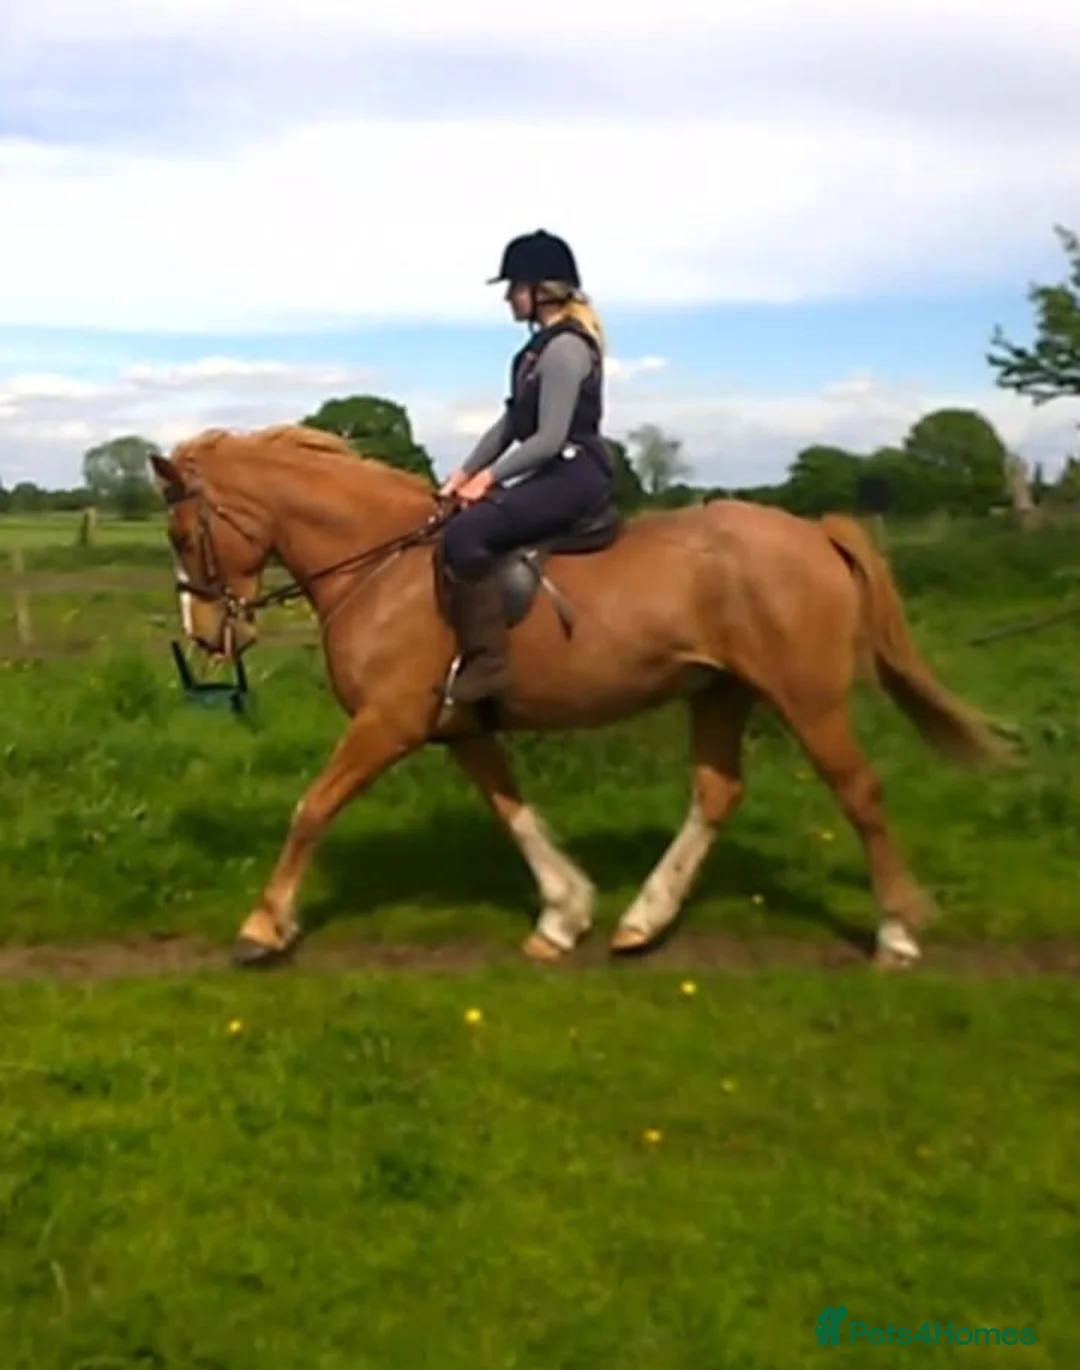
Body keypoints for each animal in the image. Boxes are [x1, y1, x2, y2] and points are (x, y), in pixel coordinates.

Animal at [149, 423, 1013, 971]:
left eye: (182, 535)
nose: (205, 635)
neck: (381, 566)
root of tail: (814, 533)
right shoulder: (461, 728)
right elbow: (513, 812)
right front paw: (563, 916)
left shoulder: (386, 724)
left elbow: (313, 810)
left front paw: (263, 927)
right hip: (721, 692)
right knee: (717, 792)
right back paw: (643, 922)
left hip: (807, 699)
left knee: (858, 792)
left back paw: (896, 936)